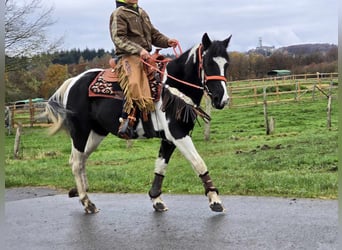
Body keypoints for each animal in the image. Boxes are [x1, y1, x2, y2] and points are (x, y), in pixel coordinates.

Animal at [42, 32, 231, 213]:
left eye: (226, 65)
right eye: (208, 63)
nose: (221, 99)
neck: (173, 86)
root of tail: (73, 82)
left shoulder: (168, 139)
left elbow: (160, 167)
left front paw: (156, 199)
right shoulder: (178, 135)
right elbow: (198, 162)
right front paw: (215, 201)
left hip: (98, 132)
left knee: (81, 159)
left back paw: (78, 190)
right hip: (80, 131)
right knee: (76, 162)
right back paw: (87, 203)